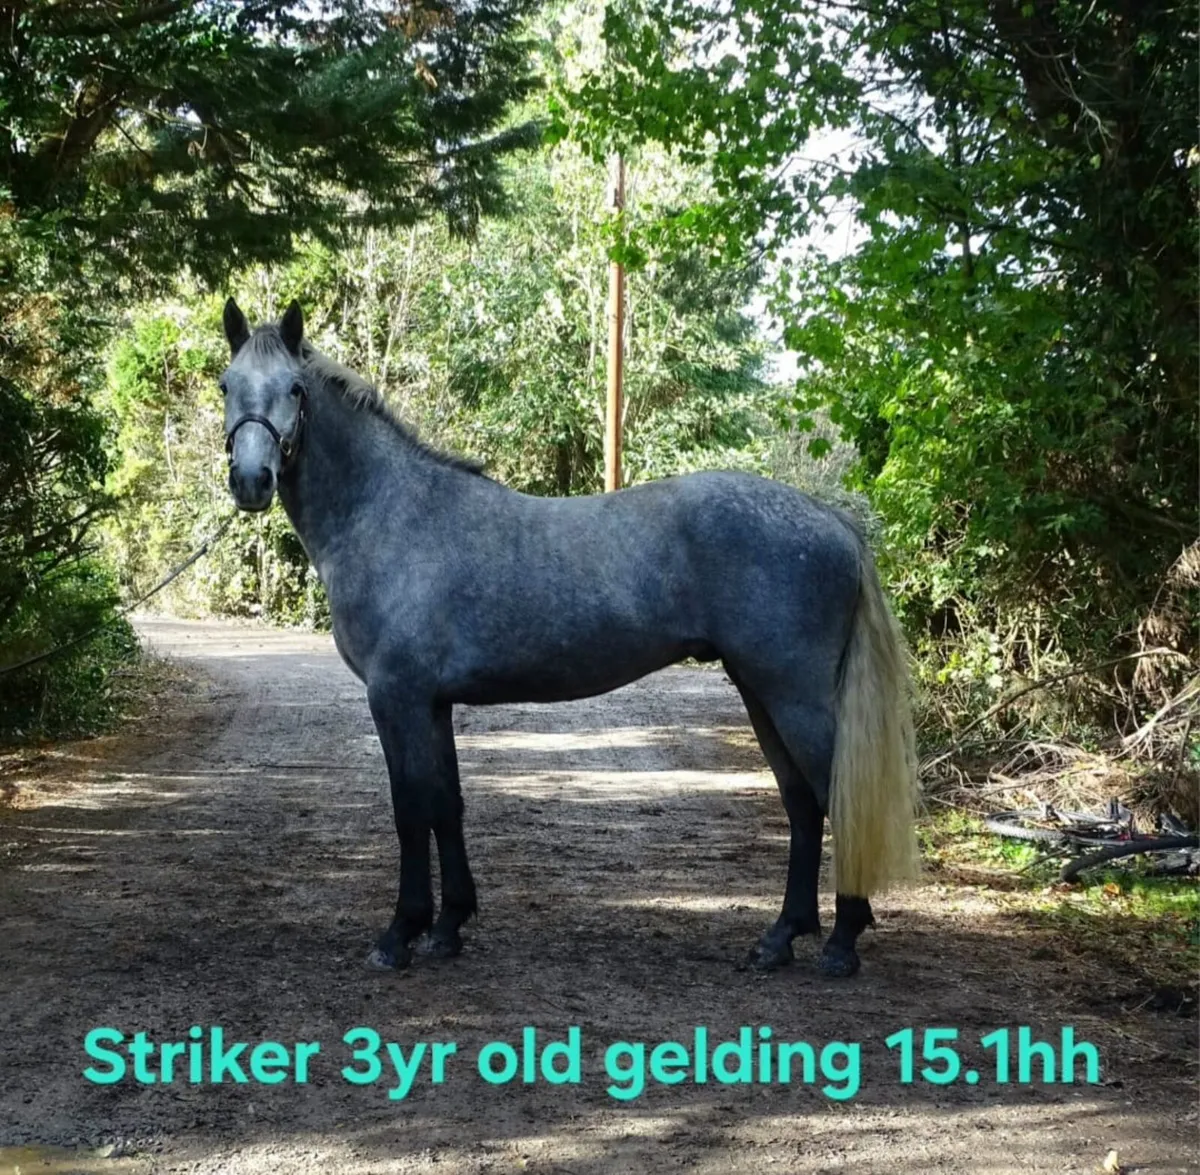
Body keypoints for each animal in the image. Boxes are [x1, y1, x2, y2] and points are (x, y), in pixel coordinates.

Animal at [218, 298, 920, 978]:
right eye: (226, 384)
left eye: (294, 389)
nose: (251, 480)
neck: (391, 513)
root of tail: (834, 520)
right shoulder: (434, 704)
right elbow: (447, 804)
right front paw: (448, 928)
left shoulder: (397, 697)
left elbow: (410, 809)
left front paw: (400, 934)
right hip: (759, 690)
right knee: (802, 804)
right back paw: (780, 938)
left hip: (793, 693)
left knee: (833, 795)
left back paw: (841, 944)